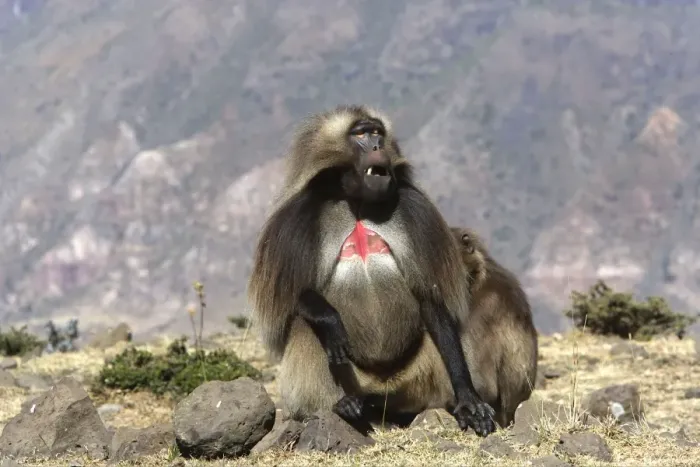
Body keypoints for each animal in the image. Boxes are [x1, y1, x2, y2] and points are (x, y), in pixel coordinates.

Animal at [247, 105, 497, 437]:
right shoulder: (295, 221)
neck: (357, 202)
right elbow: (291, 302)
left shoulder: (416, 210)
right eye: (361, 134)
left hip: (411, 381)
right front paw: (330, 319)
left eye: (377, 132)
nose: (377, 145)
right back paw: (345, 405)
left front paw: (469, 400)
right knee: (307, 324)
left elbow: (430, 300)